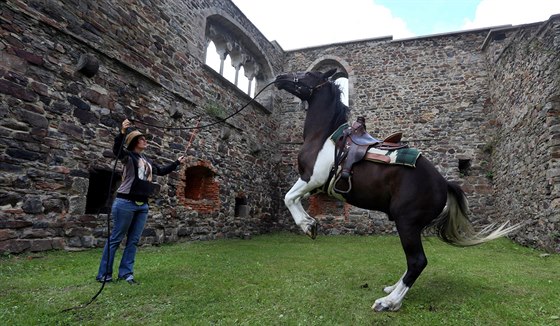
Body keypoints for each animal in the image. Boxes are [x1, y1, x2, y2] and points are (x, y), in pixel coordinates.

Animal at [276, 70, 520, 312]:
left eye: (307, 74)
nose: (280, 78)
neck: (325, 138)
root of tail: (443, 183)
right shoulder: (314, 185)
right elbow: (295, 198)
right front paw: (310, 222)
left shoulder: (311, 178)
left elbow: (288, 197)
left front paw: (307, 225)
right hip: (411, 226)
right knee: (413, 262)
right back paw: (393, 290)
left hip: (407, 223)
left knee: (417, 261)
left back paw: (389, 302)